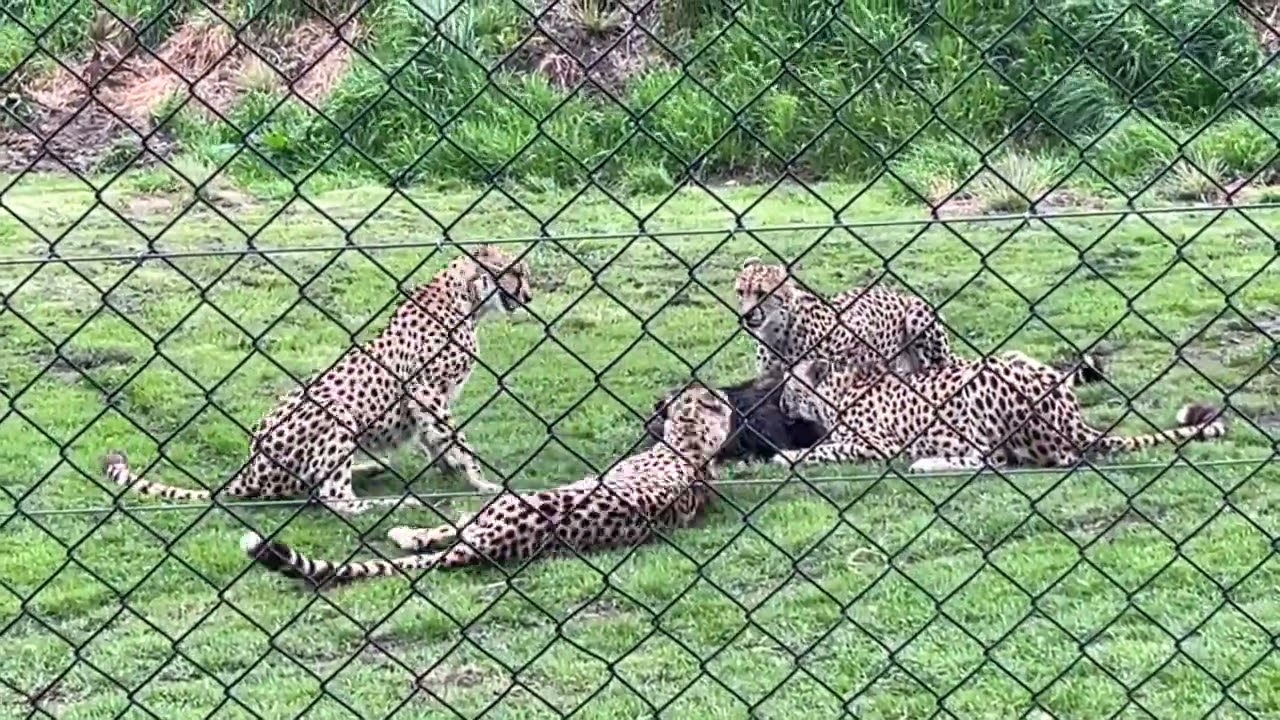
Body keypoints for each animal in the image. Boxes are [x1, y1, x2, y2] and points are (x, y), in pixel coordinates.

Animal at [100, 244, 533, 516]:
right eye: (514, 273)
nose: (528, 296)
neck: (465, 298)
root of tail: (248, 468)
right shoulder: (427, 389)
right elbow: (454, 438)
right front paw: (480, 481)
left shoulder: (425, 398)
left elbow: (436, 438)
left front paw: (451, 470)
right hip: (334, 411)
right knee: (334, 498)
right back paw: (395, 502)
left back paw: (370, 468)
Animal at [735, 257, 955, 379]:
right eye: (740, 292)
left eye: (762, 294)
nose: (747, 314)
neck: (777, 331)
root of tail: (898, 294)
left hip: (919, 315)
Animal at [770, 353, 1226, 473]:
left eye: (789, 385)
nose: (778, 402)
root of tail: (1076, 421)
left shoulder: (879, 444)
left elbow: (828, 449)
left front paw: (786, 457)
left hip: (983, 383)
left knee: (992, 459)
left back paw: (927, 463)